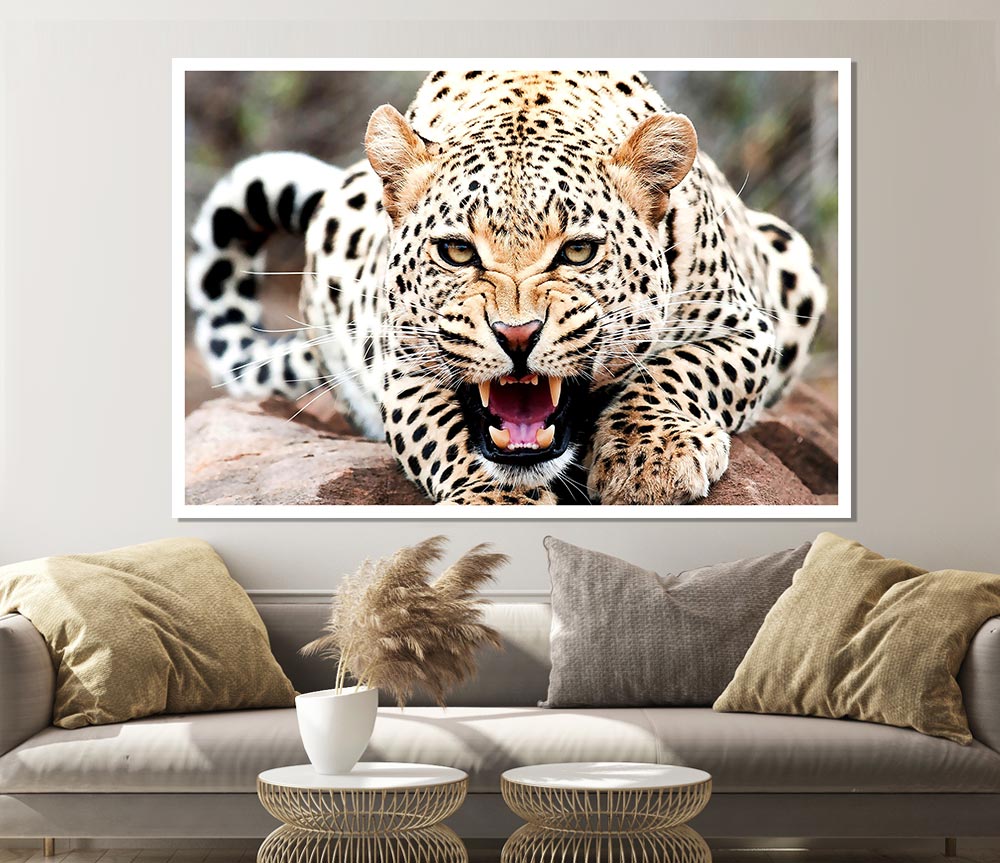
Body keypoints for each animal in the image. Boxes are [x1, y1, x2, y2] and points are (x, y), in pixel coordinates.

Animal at [187, 70, 827, 506]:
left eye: (578, 251)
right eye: (456, 252)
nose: (517, 336)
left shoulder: (748, 327)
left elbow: (679, 369)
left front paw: (648, 459)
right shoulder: (401, 365)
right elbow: (445, 431)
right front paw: (495, 498)